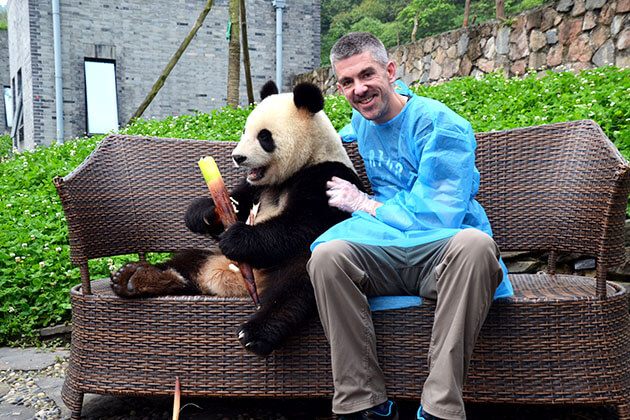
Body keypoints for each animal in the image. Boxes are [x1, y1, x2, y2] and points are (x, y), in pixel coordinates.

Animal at [111, 80, 362, 356]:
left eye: (264, 136)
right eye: (244, 130)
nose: (237, 157)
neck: (306, 160)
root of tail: (232, 286)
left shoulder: (326, 177)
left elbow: (300, 224)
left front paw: (237, 238)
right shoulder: (255, 187)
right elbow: (237, 201)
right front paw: (204, 213)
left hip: (300, 265)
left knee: (296, 285)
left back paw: (256, 331)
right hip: (209, 256)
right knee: (186, 261)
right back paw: (134, 278)